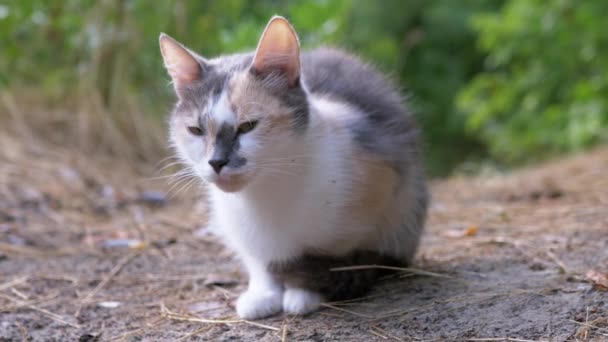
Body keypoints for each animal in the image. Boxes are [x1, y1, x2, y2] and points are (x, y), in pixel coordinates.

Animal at [159, 16, 430, 320]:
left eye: (248, 126)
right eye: (196, 130)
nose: (216, 162)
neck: (266, 194)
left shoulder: (379, 186)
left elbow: (329, 256)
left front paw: (303, 293)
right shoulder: (243, 230)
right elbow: (259, 260)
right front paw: (263, 294)